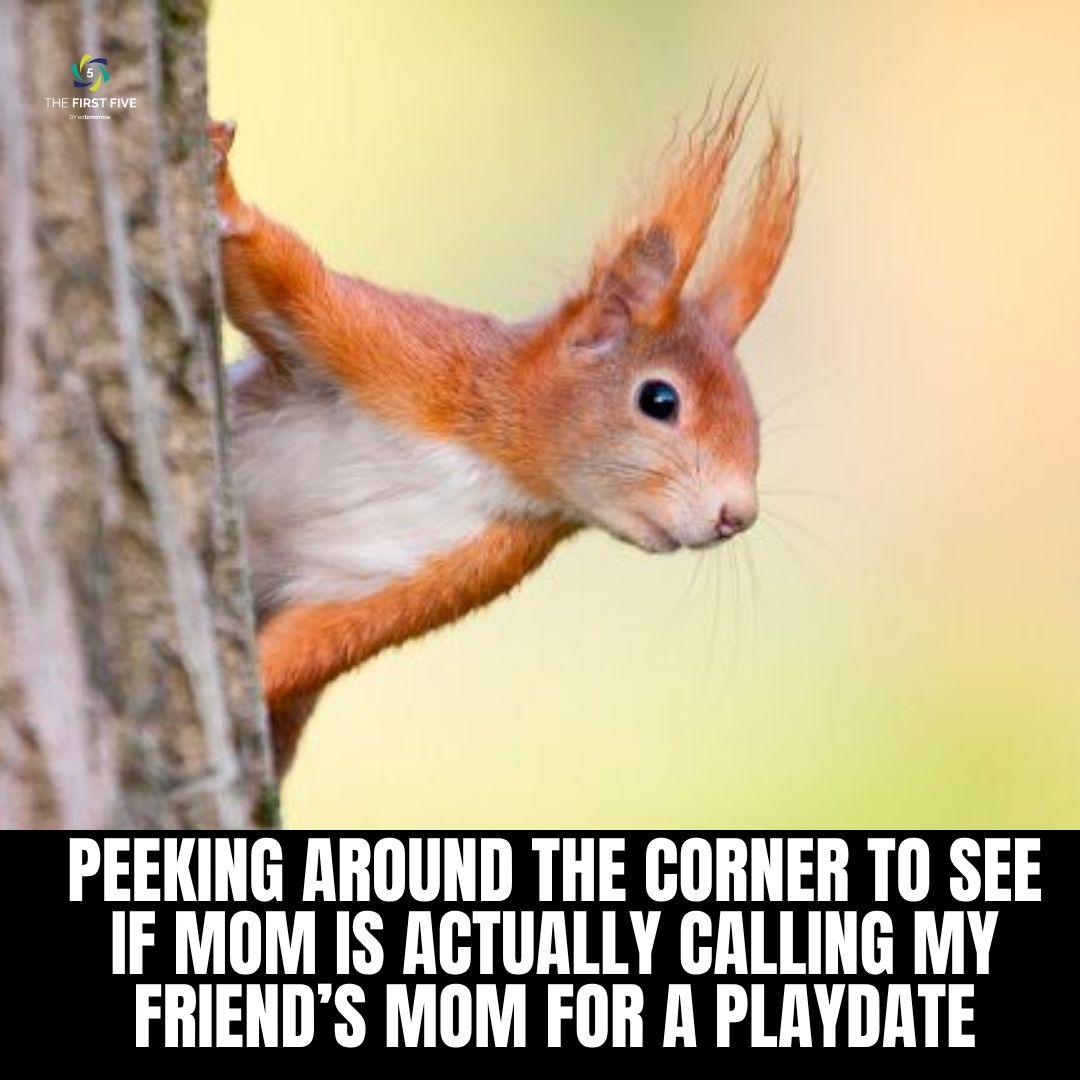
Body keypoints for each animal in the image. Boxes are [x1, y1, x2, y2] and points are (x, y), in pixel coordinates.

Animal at [209, 83, 799, 776]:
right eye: (659, 399)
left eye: (754, 419)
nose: (738, 514)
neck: (490, 460)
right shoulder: (402, 354)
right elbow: (284, 282)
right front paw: (221, 188)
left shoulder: (459, 565)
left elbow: (316, 644)